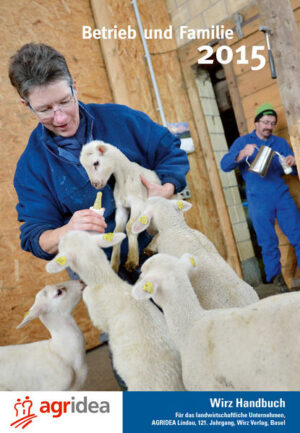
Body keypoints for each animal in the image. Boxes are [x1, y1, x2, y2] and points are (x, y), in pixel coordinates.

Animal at [79, 140, 164, 272]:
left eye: (96, 163)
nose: (95, 184)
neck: (124, 179)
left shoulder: (138, 204)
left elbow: (130, 227)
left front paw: (132, 260)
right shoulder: (121, 208)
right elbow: (117, 232)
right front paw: (114, 265)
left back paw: (151, 247)